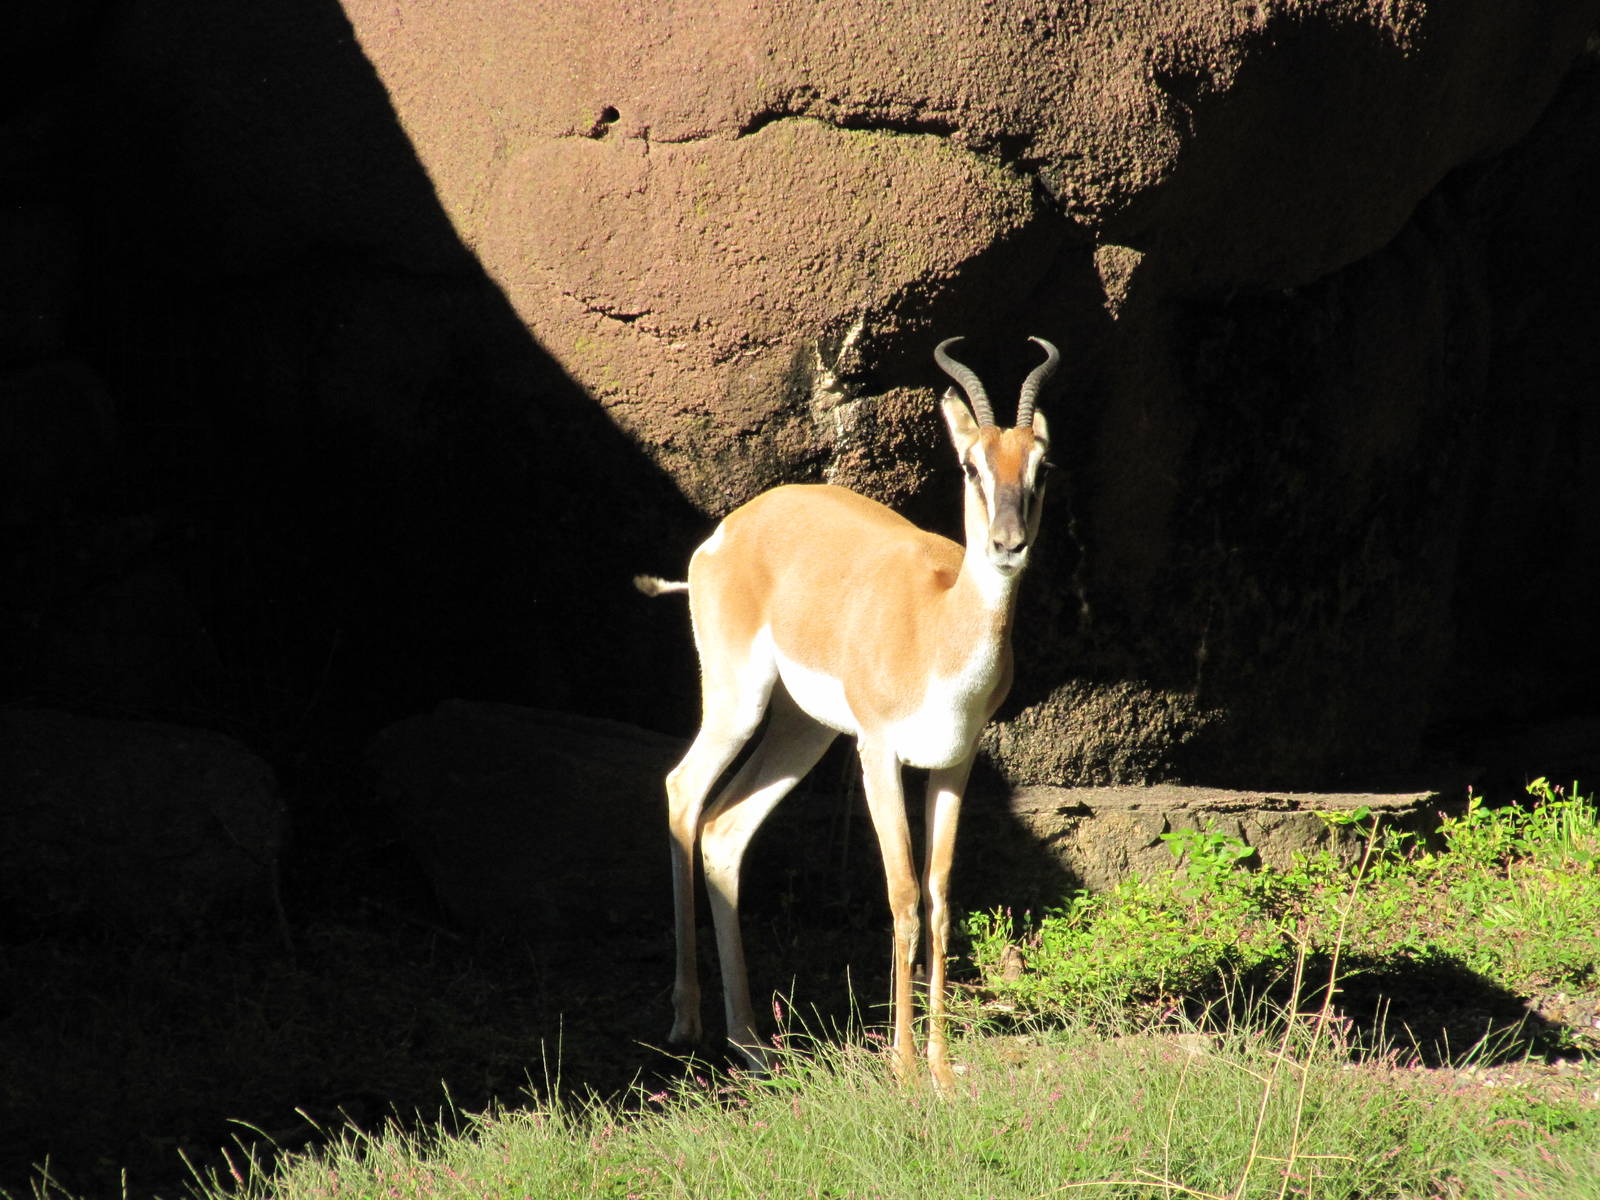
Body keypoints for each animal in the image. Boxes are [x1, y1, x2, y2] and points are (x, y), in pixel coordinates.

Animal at [635, 336, 1059, 1088]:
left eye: (1041, 466)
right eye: (971, 465)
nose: (1009, 545)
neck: (937, 626)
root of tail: (729, 531)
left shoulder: (954, 764)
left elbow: (940, 901)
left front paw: (941, 1071)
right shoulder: (879, 755)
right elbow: (902, 898)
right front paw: (903, 1069)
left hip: (802, 731)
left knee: (725, 830)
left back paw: (750, 1043)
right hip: (739, 702)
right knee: (684, 791)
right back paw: (688, 1024)